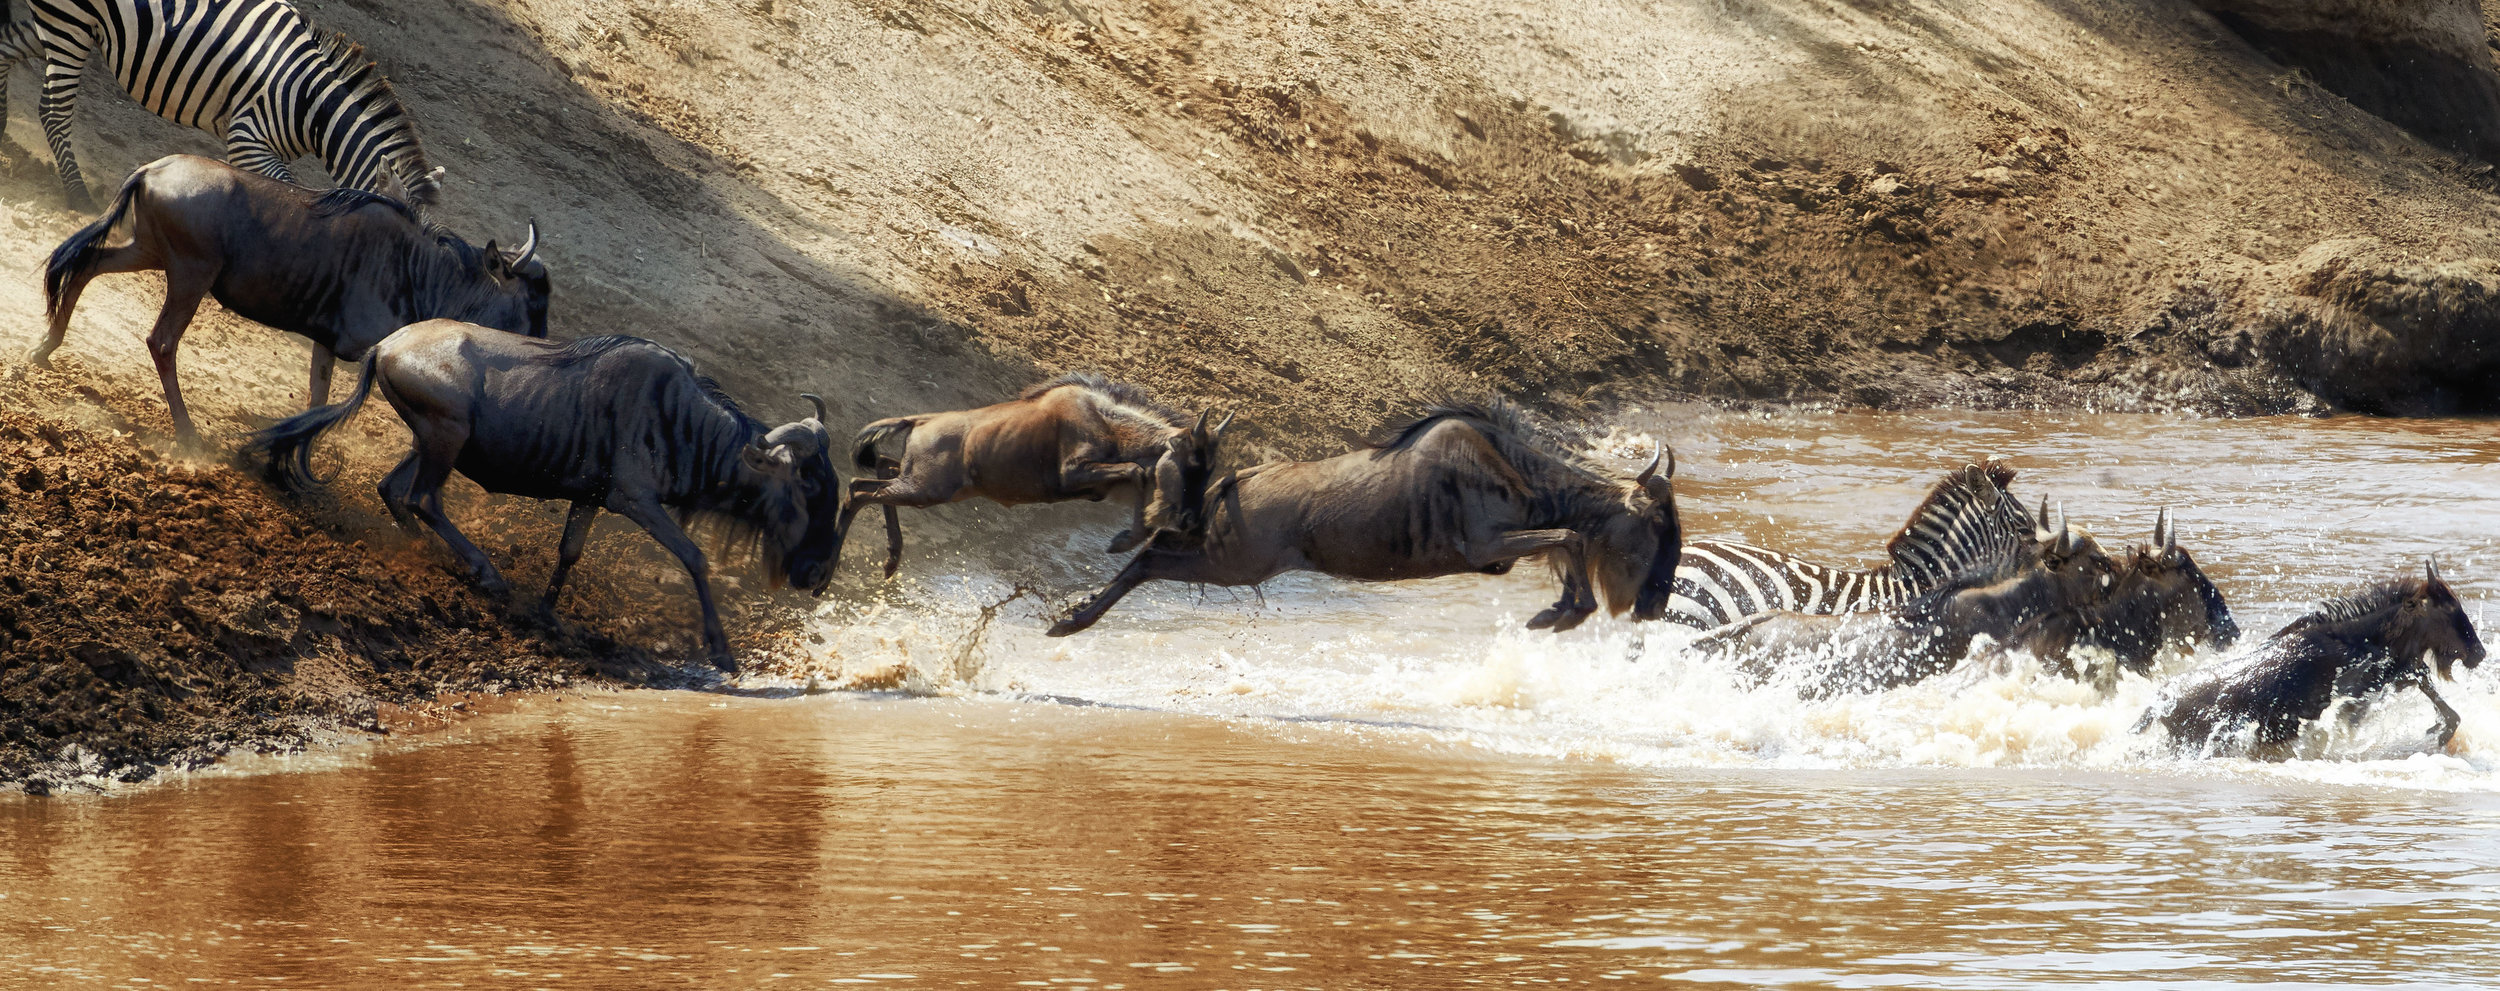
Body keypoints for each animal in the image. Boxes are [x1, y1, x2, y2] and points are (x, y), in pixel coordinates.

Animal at [0, 0, 440, 211]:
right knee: (53, 111)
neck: (312, 104)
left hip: (69, 23)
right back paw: (78, 198)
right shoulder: (248, 137)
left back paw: (3, 134)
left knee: (6, 46)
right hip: (71, 24)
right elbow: (289, 191)